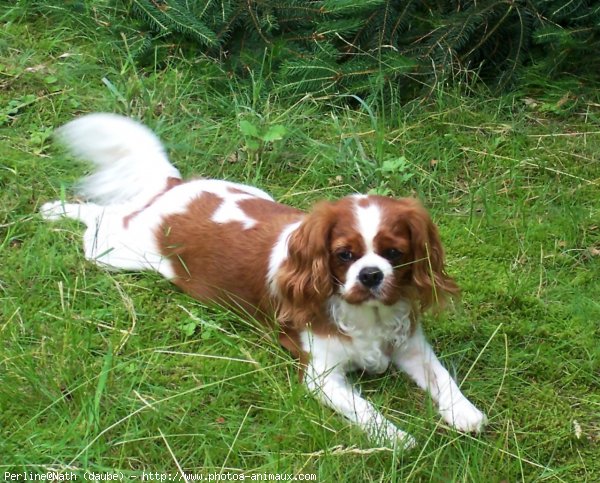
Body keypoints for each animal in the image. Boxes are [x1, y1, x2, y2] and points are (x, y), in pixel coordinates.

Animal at [39, 113, 486, 450]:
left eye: (394, 253)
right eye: (344, 254)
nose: (371, 275)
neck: (366, 314)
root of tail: (175, 190)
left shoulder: (410, 346)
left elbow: (442, 377)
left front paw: (465, 413)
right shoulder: (322, 378)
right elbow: (365, 411)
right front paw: (396, 438)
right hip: (120, 252)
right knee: (100, 219)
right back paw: (56, 209)